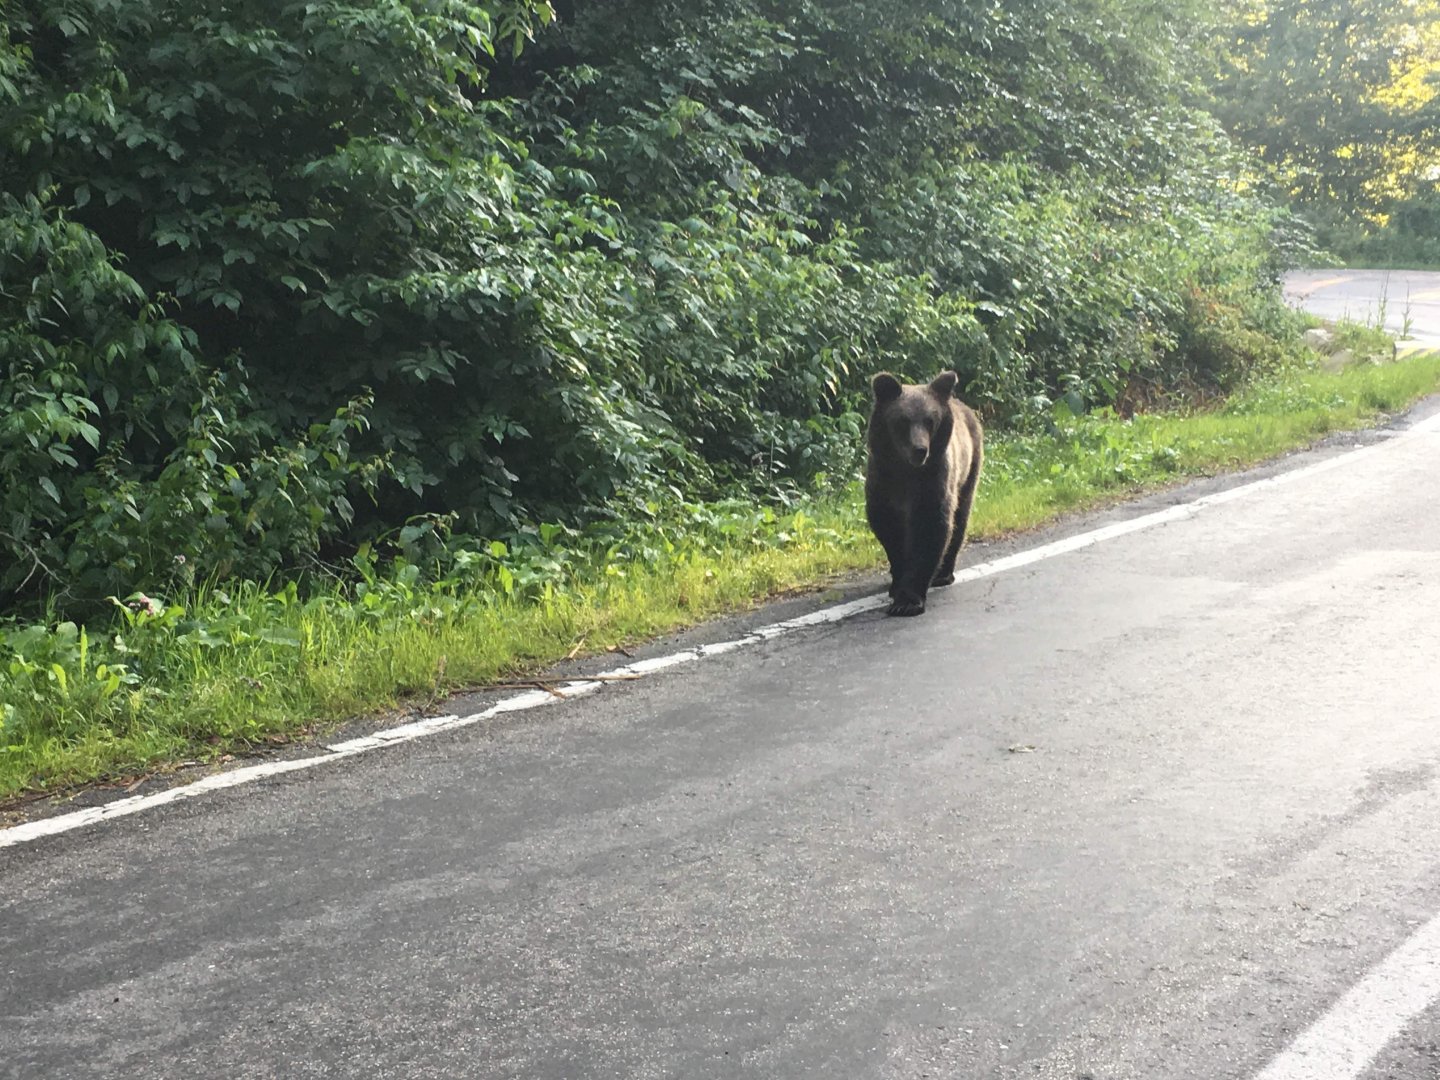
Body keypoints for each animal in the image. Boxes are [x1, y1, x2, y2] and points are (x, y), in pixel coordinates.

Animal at [865, 370, 984, 617]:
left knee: (959, 519)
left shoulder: (932, 481)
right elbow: (888, 528)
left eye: (930, 420)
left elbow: (930, 528)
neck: (907, 472)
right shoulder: (883, 483)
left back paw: (943, 574)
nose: (920, 450)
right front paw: (897, 583)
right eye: (903, 420)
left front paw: (907, 601)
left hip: (969, 471)